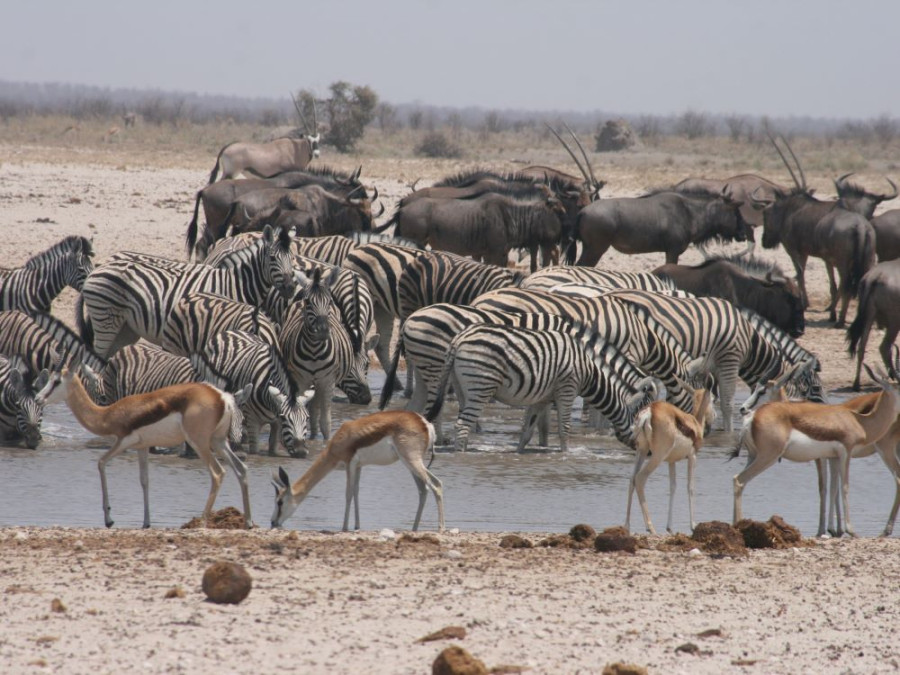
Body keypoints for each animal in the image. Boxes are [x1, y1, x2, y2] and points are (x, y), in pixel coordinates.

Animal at [79, 226, 294, 360]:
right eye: (273, 258)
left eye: (292, 258)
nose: (291, 287)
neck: (235, 283)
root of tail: (99, 267)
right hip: (106, 319)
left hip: (125, 326)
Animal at [278, 266, 370, 440]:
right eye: (308, 302)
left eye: (329, 302)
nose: (322, 331)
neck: (314, 351)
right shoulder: (301, 380)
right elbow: (301, 410)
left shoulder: (327, 380)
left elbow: (326, 422)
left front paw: (325, 443)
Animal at [426, 324, 656, 454]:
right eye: (645, 424)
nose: (649, 453)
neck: (589, 371)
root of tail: (459, 338)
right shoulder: (567, 388)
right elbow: (564, 429)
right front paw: (565, 454)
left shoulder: (541, 399)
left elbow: (527, 431)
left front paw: (519, 454)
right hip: (481, 385)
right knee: (462, 425)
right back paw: (462, 456)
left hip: (461, 386)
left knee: (463, 421)